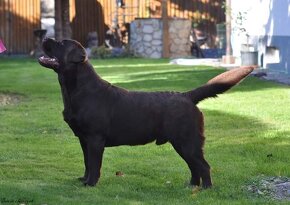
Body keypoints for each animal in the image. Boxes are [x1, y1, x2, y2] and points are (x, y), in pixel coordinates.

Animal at [38, 37, 254, 188]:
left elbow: (94, 164)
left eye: (61, 43)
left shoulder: (94, 139)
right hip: (181, 143)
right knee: (194, 166)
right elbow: (86, 162)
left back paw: (206, 189)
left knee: (203, 166)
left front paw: (90, 184)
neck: (77, 89)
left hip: (187, 141)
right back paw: (191, 187)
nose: (45, 38)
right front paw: (84, 179)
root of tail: (187, 96)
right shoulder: (83, 139)